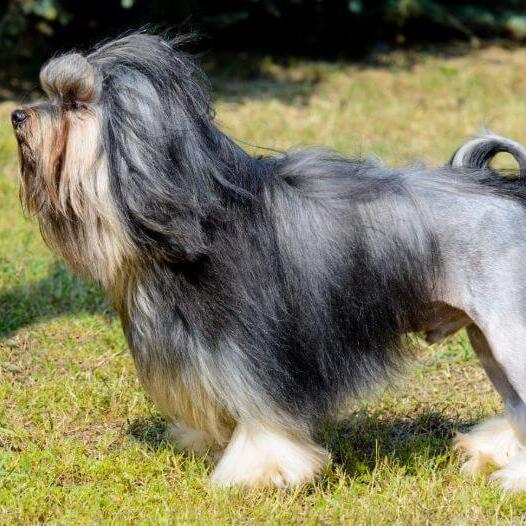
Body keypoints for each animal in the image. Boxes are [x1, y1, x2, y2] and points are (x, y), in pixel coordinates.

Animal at [11, 32, 526, 490]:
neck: (190, 213)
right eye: (51, 93)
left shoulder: (255, 350)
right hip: (487, 341)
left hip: (509, 332)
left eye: (76, 102)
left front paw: (259, 472)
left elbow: (263, 416)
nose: (16, 115)